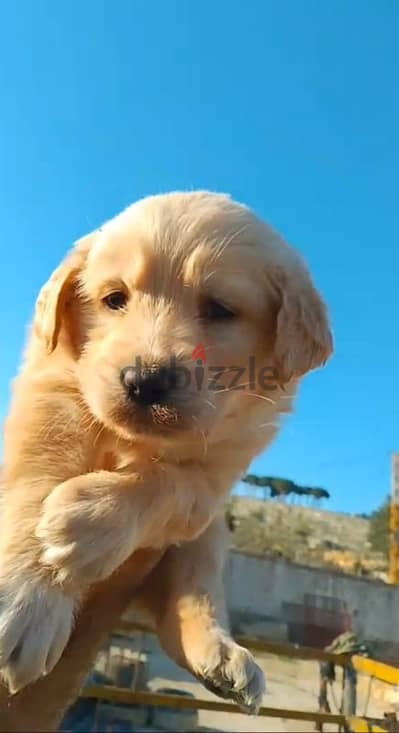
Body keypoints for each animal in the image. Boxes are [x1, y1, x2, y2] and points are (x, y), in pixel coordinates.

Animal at [0, 192, 332, 708]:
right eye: (114, 299)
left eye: (220, 309)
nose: (144, 381)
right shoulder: (50, 395)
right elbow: (38, 477)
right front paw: (25, 597)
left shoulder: (217, 473)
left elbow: (170, 484)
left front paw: (91, 518)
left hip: (209, 537)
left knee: (194, 593)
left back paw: (224, 660)